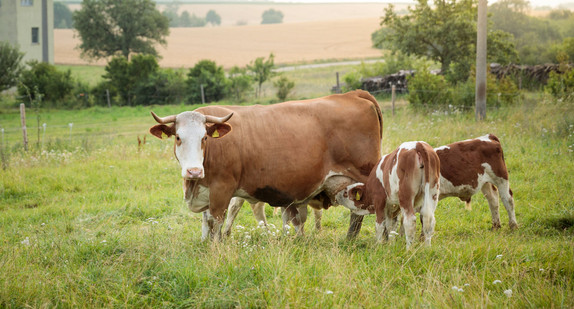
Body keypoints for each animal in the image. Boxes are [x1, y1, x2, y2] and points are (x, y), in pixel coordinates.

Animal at [150, 90, 382, 239]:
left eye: (204, 138)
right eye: (178, 137)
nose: (194, 171)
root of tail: (353, 94)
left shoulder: (221, 190)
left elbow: (216, 225)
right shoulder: (207, 192)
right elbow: (206, 225)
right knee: (356, 214)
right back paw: (349, 241)